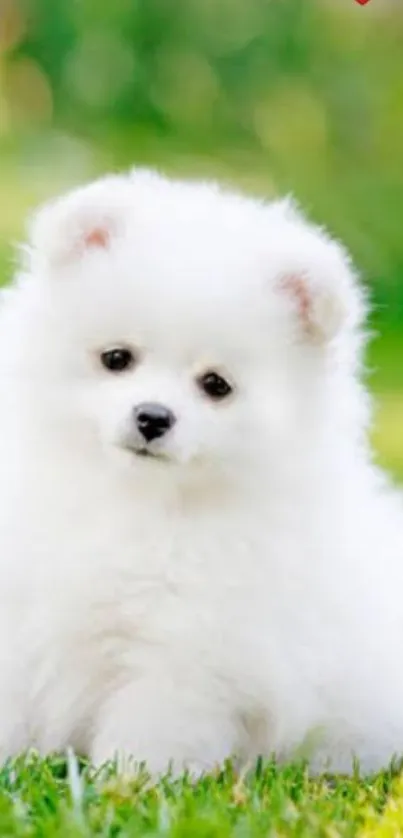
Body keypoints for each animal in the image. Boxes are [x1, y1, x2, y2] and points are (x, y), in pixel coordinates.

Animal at [0, 171, 403, 780]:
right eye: (116, 358)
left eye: (216, 385)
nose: (152, 417)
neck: (134, 501)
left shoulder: (189, 651)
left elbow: (153, 726)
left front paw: (131, 784)